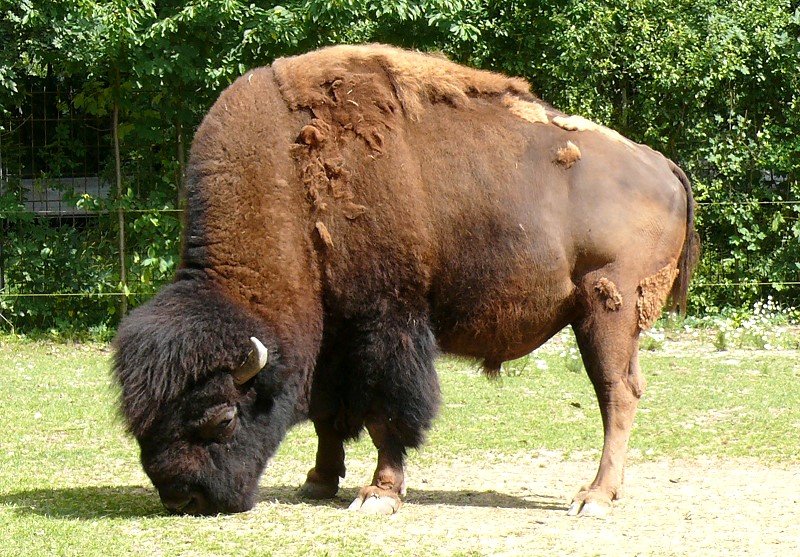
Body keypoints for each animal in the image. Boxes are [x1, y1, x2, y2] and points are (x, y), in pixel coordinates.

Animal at [114, 44, 700, 516]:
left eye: (223, 420)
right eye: (139, 423)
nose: (185, 499)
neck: (292, 185)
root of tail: (661, 164)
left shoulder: (385, 320)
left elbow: (385, 411)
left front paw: (379, 494)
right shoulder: (334, 332)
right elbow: (328, 412)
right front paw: (318, 481)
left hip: (607, 310)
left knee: (616, 393)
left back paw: (594, 497)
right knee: (626, 389)